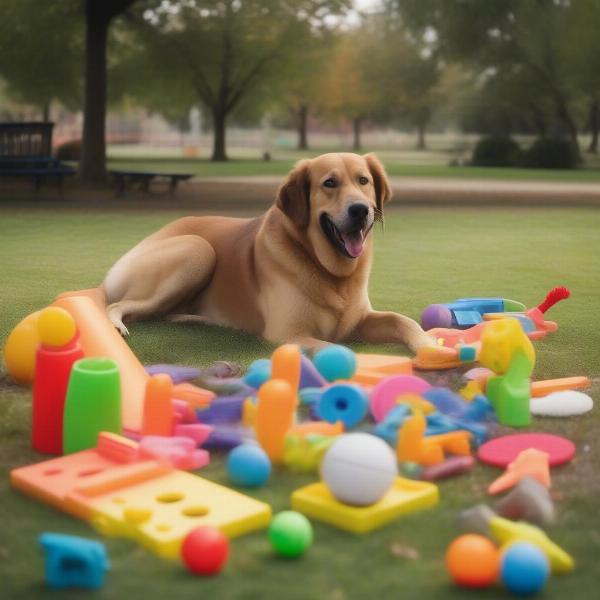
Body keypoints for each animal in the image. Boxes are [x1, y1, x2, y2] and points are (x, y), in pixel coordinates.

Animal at [102, 152, 432, 354]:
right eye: (329, 183)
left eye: (364, 180)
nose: (361, 210)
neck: (332, 272)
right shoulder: (289, 334)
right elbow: (337, 348)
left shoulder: (361, 320)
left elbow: (403, 320)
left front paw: (431, 345)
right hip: (197, 248)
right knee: (118, 305)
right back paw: (117, 324)